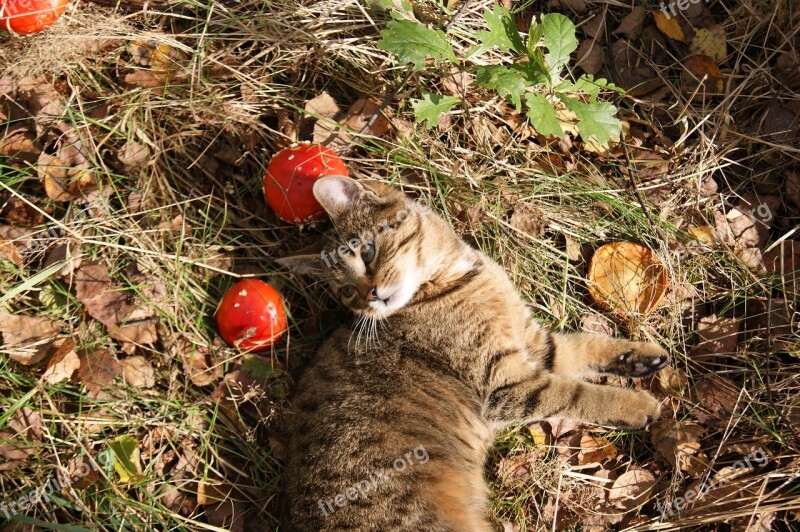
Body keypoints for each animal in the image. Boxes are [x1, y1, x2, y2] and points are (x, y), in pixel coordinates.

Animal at [278, 177, 664, 528]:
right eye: (346, 291)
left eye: (368, 252)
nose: (370, 295)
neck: (458, 276)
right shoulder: (504, 385)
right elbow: (577, 394)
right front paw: (635, 405)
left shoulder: (536, 344)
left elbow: (587, 344)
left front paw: (639, 355)